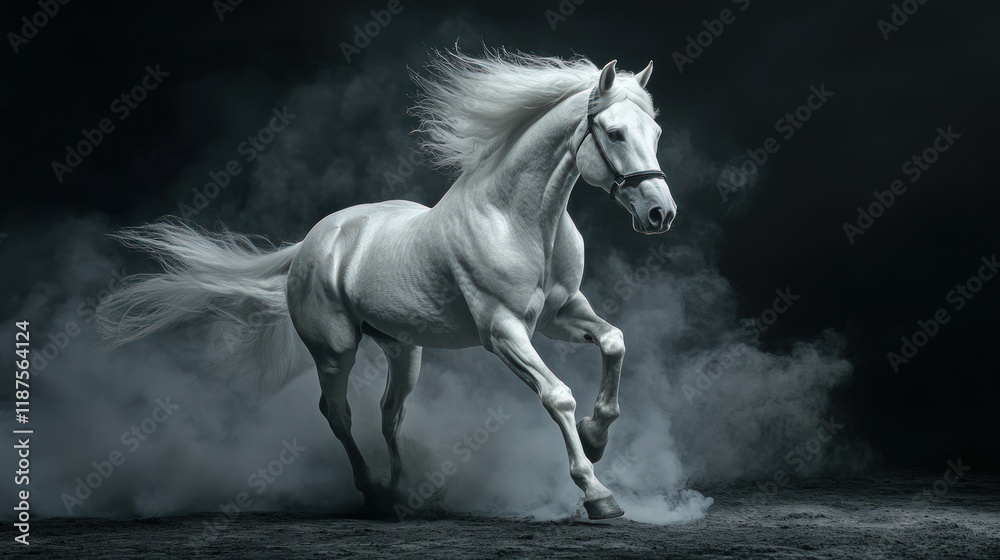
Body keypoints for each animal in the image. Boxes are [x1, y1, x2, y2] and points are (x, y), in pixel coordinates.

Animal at [97, 51, 677, 520]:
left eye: (655, 134)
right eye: (616, 133)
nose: (660, 213)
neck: (518, 220)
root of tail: (313, 242)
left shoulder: (561, 315)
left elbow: (614, 341)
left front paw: (597, 438)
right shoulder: (504, 331)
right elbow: (557, 395)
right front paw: (597, 492)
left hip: (404, 349)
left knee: (390, 414)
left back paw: (403, 497)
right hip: (335, 351)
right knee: (339, 413)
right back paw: (374, 495)